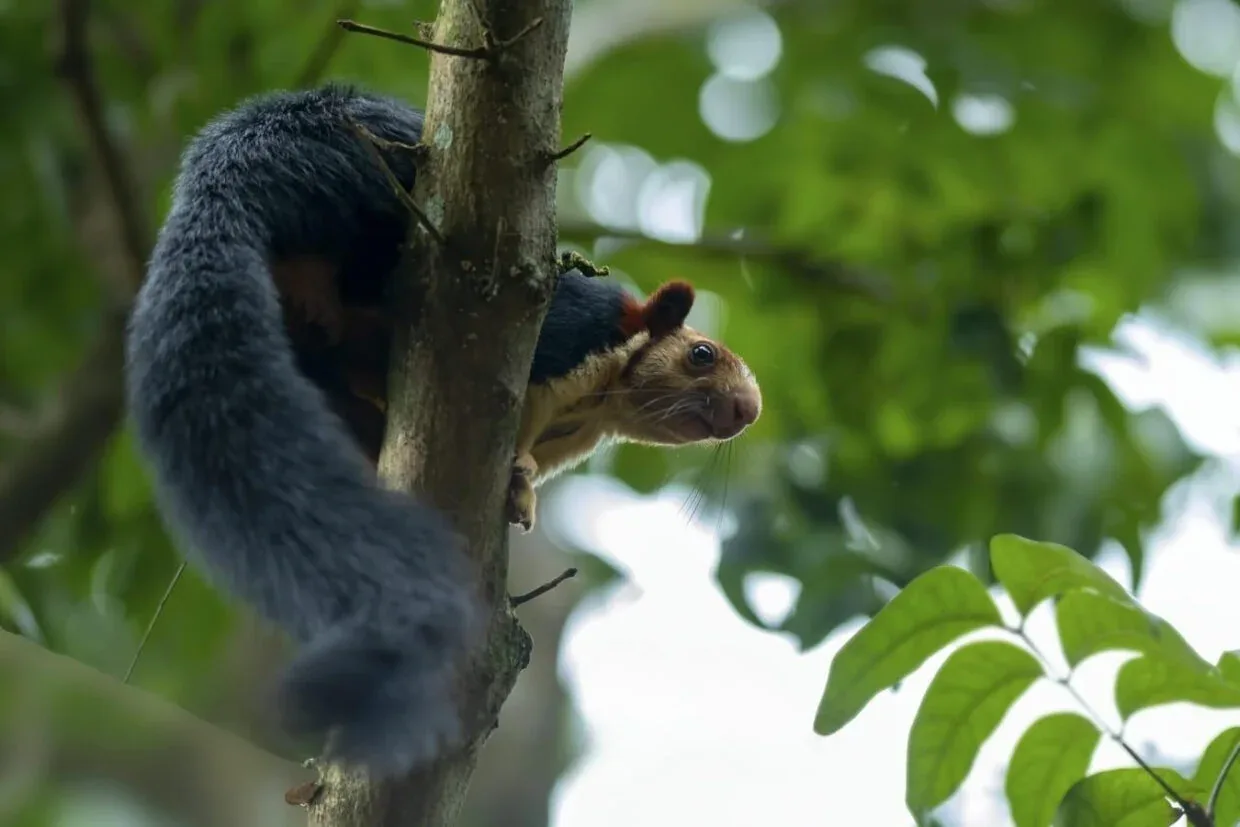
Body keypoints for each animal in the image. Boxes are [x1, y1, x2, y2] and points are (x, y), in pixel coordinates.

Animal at [124, 84, 762, 779]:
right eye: (701, 354)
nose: (748, 409)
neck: (595, 404)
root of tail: (223, 171)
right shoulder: (570, 333)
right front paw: (516, 476)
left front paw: (523, 488)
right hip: (374, 178)